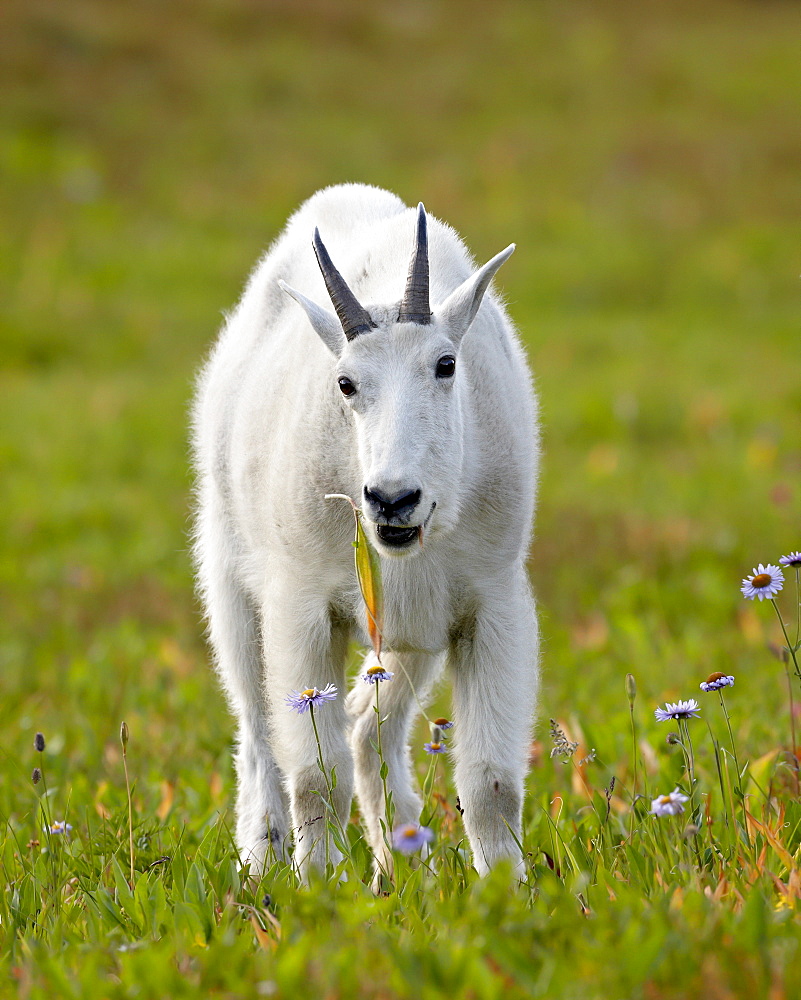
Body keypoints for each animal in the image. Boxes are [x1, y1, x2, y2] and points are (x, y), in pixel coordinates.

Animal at [193, 184, 540, 880]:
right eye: (346, 383)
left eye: (446, 364)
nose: (391, 500)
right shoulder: (301, 609)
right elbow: (313, 777)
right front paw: (320, 890)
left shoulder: (490, 604)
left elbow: (491, 781)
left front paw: (506, 894)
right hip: (228, 578)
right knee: (257, 733)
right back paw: (261, 861)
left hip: (409, 637)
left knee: (366, 729)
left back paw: (406, 862)